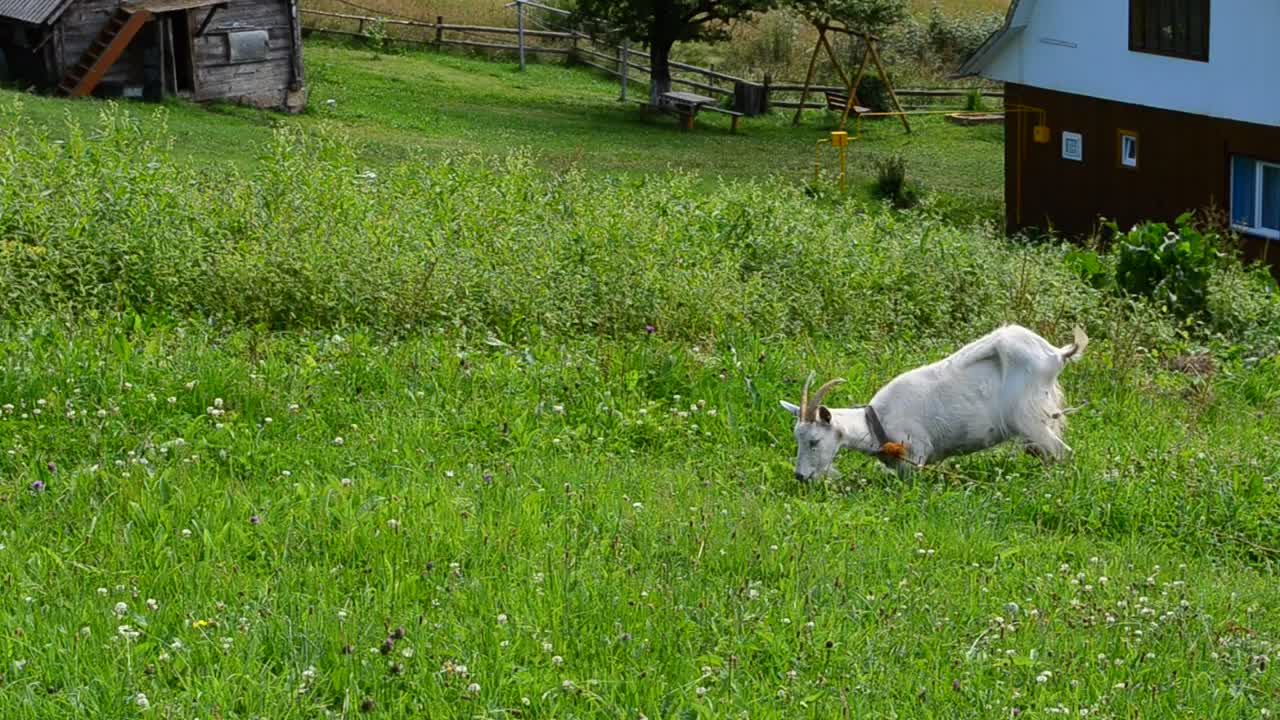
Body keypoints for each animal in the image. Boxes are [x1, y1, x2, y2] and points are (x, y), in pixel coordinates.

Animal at [778, 322, 1090, 479]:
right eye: (797, 439)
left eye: (814, 441)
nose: (800, 476)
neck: (876, 422)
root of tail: (1056, 354)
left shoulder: (916, 456)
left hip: (1030, 418)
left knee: (1063, 453)